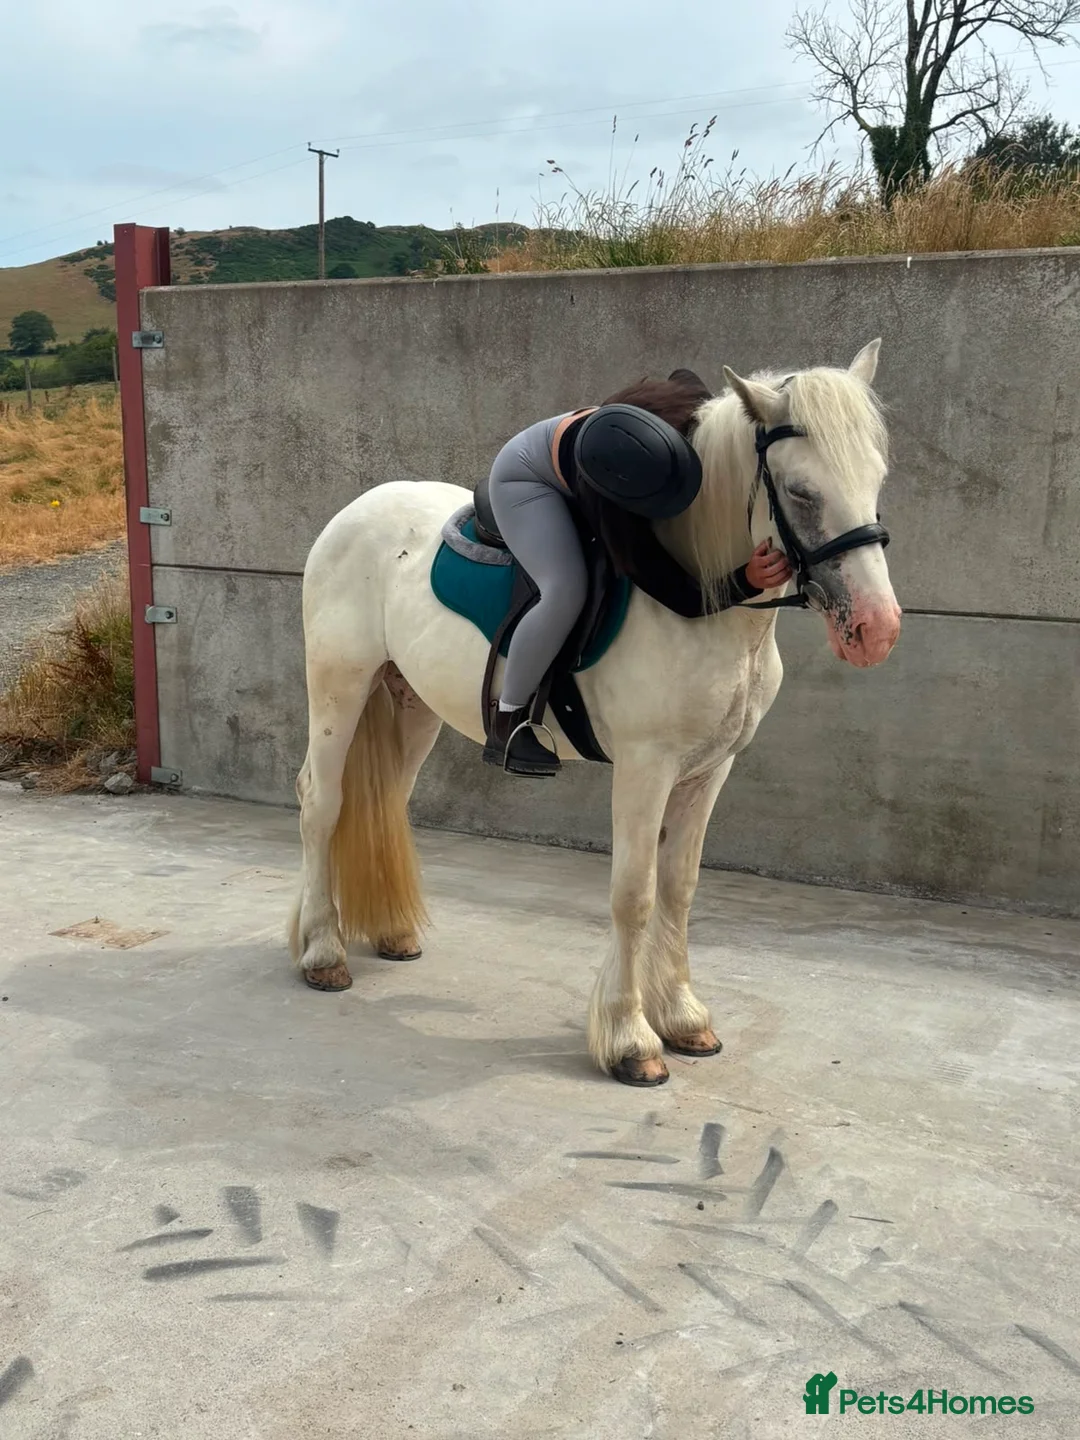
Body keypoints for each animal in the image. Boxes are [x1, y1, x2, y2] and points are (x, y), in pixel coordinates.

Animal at [287, 339, 901, 1087]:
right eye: (802, 492)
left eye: (876, 476)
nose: (876, 629)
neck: (709, 609)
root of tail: (354, 512)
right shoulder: (645, 765)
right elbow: (633, 893)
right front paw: (632, 1039)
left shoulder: (709, 770)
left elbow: (679, 887)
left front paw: (683, 1018)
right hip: (339, 688)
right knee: (322, 801)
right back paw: (323, 952)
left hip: (412, 706)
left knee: (381, 803)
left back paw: (389, 933)